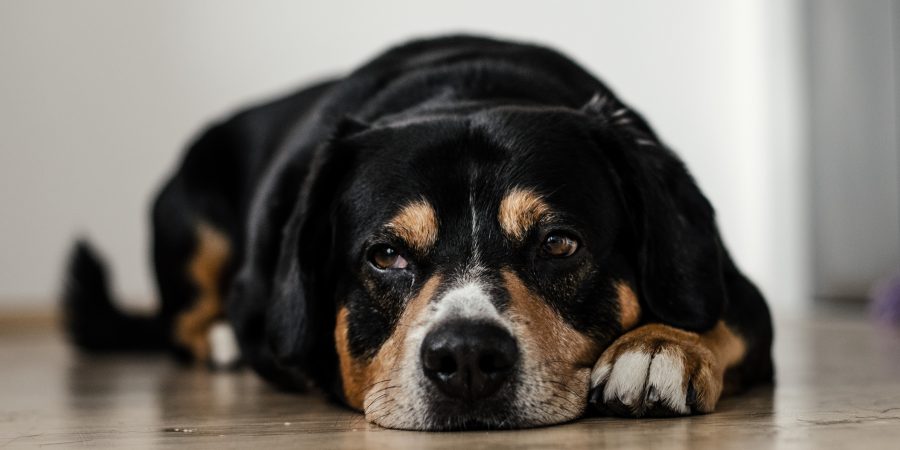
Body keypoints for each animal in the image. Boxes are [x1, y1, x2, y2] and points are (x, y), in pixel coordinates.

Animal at [67, 34, 776, 428]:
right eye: (385, 255)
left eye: (558, 244)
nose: (465, 358)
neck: (467, 91)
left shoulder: (736, 289)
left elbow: (719, 317)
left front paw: (656, 347)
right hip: (190, 220)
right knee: (182, 320)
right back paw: (221, 342)